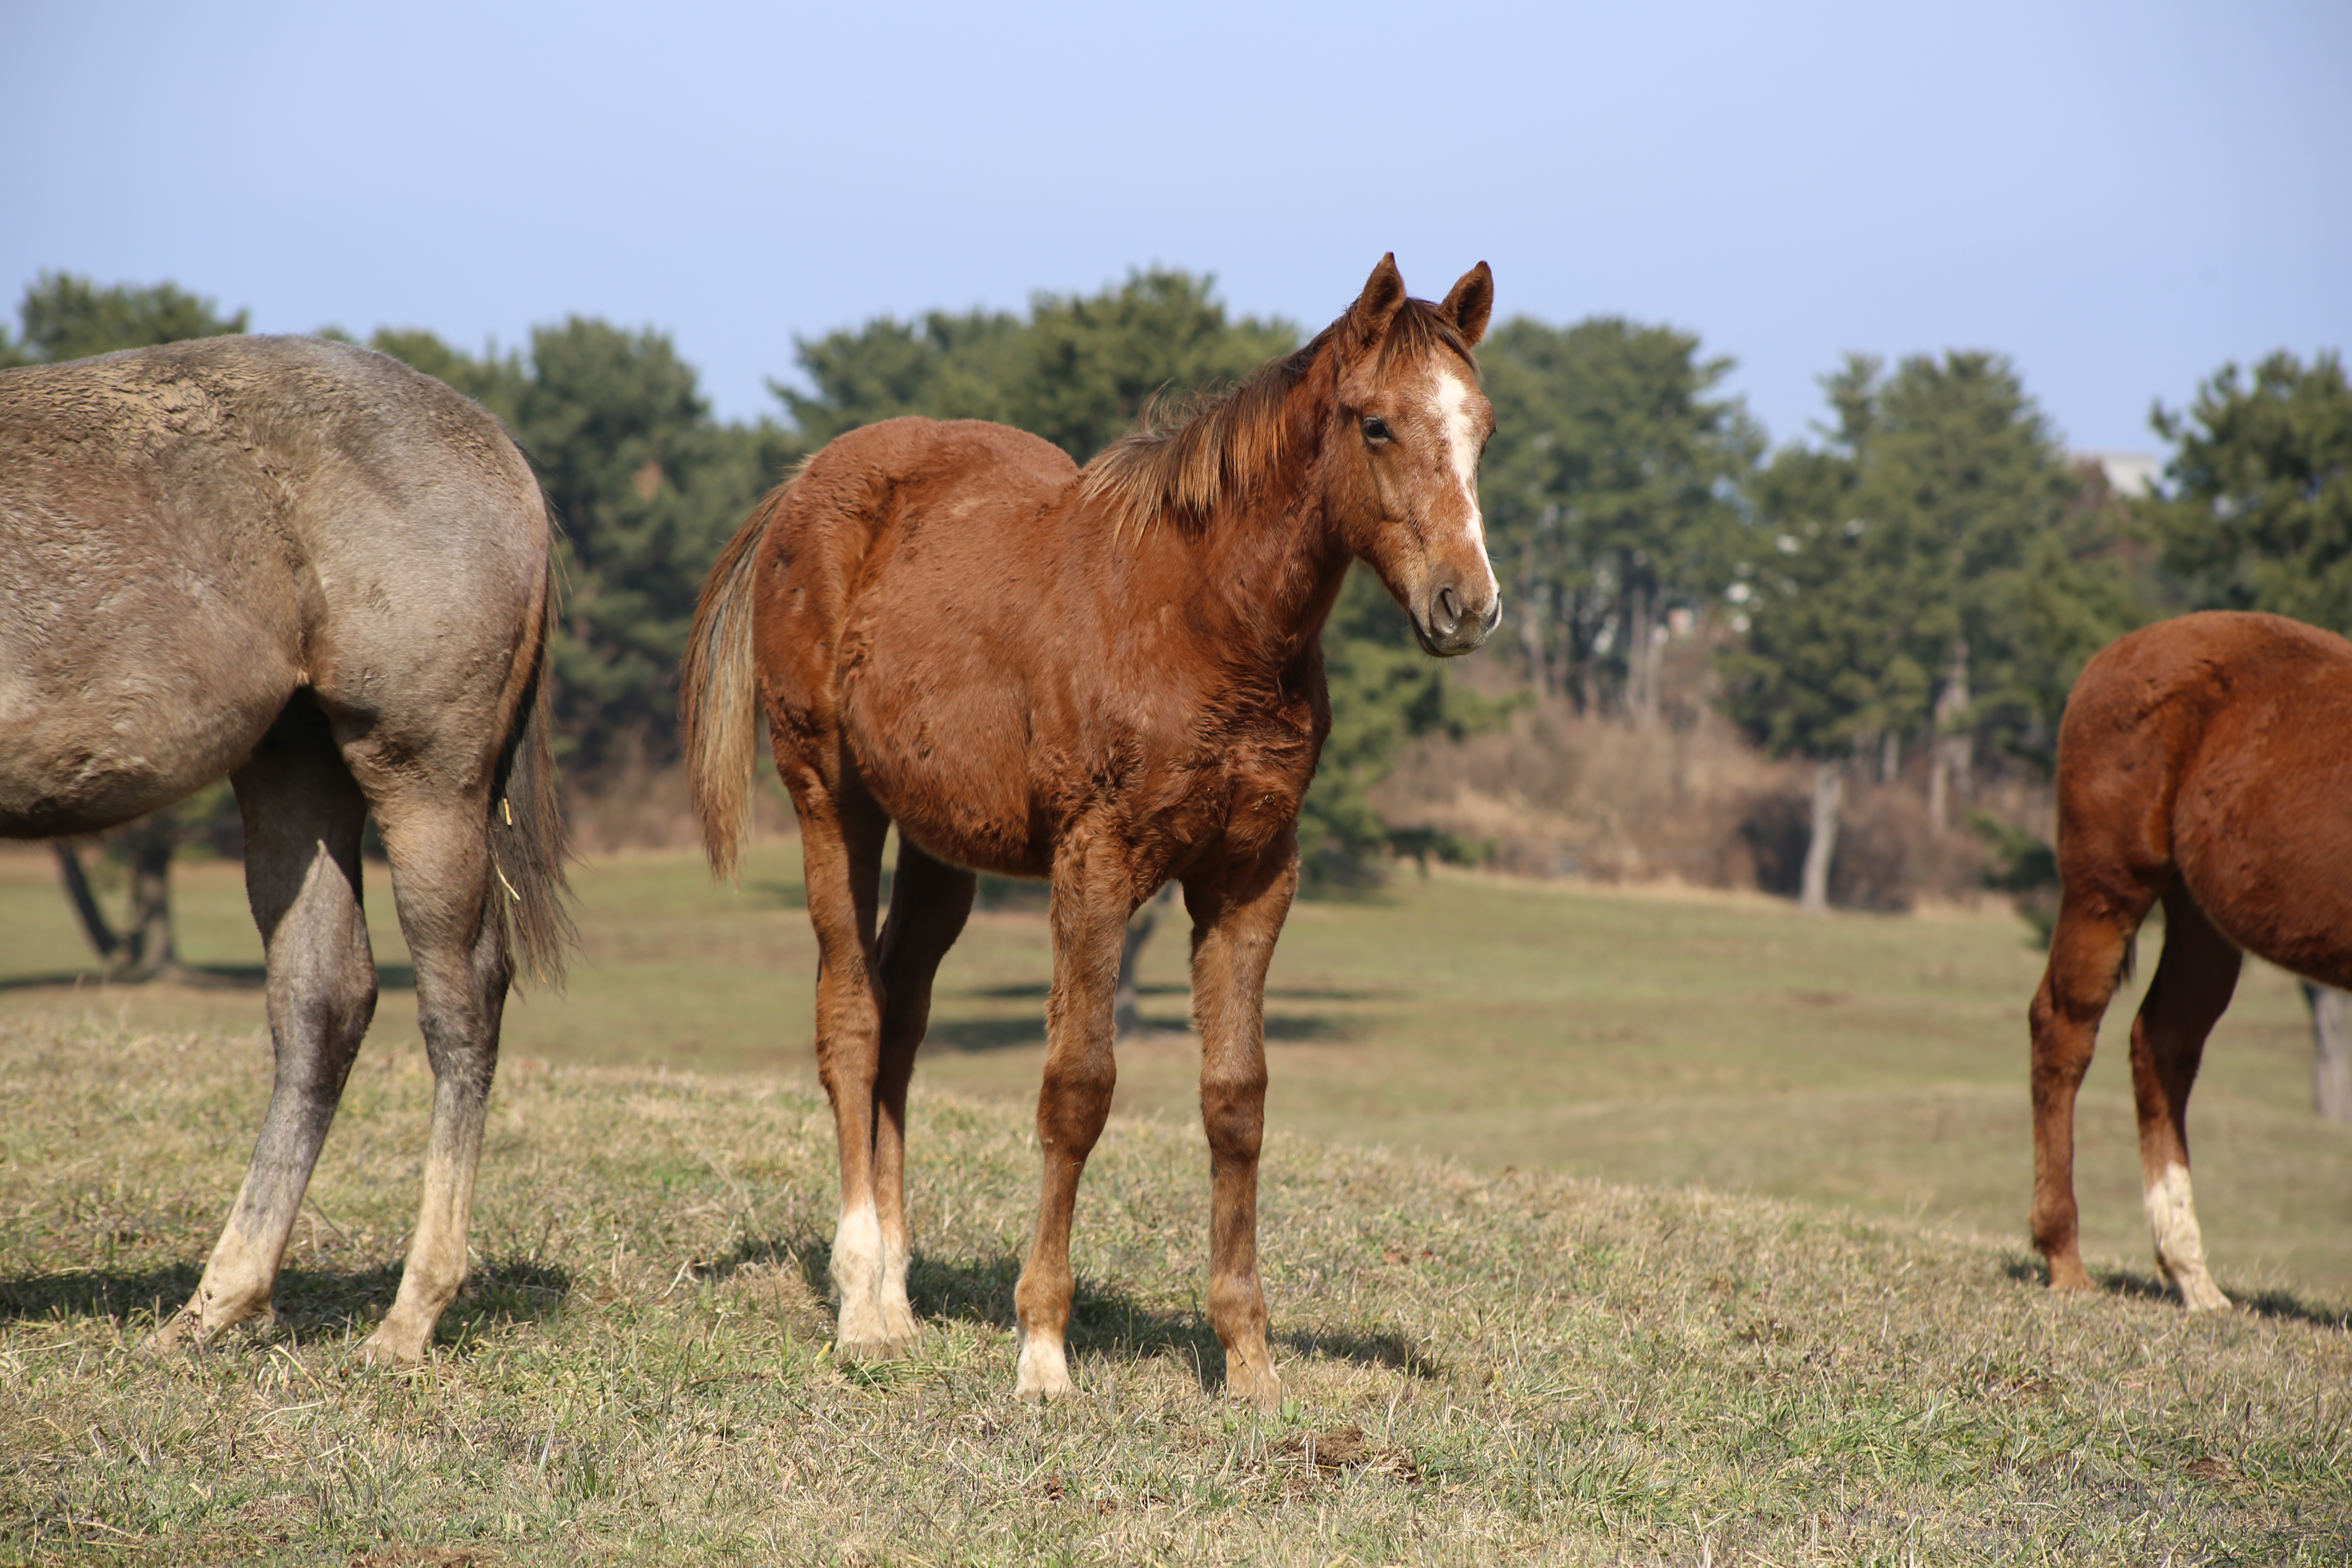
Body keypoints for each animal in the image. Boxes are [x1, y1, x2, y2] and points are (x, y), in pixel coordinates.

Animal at [1, 334, 569, 1363]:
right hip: (293, 769)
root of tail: (494, 444)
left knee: (460, 1003)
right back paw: (221, 1298)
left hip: (423, 777)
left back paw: (409, 1316)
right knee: (321, 1001)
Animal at [682, 257, 1496, 1410]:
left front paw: (1249, 1358)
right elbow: (1077, 1087)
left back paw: (897, 1296)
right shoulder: (1096, 863)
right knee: (849, 1017)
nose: (1467, 605)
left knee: (900, 1022)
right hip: (829, 799)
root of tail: (802, 484)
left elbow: (1236, 1096)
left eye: (1482, 428)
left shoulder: (1252, 874)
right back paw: (860, 1309)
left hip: (941, 848)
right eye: (1376, 425)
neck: (1206, 620)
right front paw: (1042, 1348)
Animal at [2022, 611, 2352, 1316]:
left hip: (2203, 919)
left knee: (2162, 1046)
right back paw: (2066, 1258)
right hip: (2107, 889)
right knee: (2064, 1032)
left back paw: (2191, 1274)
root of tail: (2115, 654)